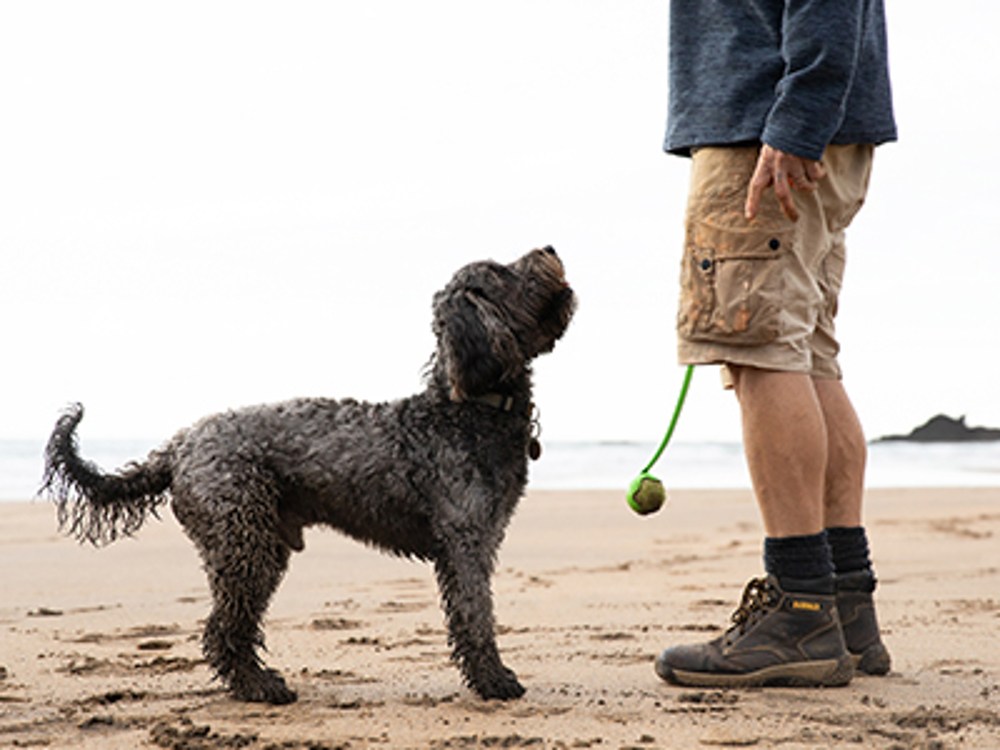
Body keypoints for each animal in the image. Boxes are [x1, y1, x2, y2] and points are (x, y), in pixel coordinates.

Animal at [43, 247, 576, 704]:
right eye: (500, 271)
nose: (550, 248)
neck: (462, 408)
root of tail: (180, 445)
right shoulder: (466, 542)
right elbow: (475, 616)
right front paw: (494, 681)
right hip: (244, 546)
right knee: (223, 630)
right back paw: (258, 688)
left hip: (261, 547)